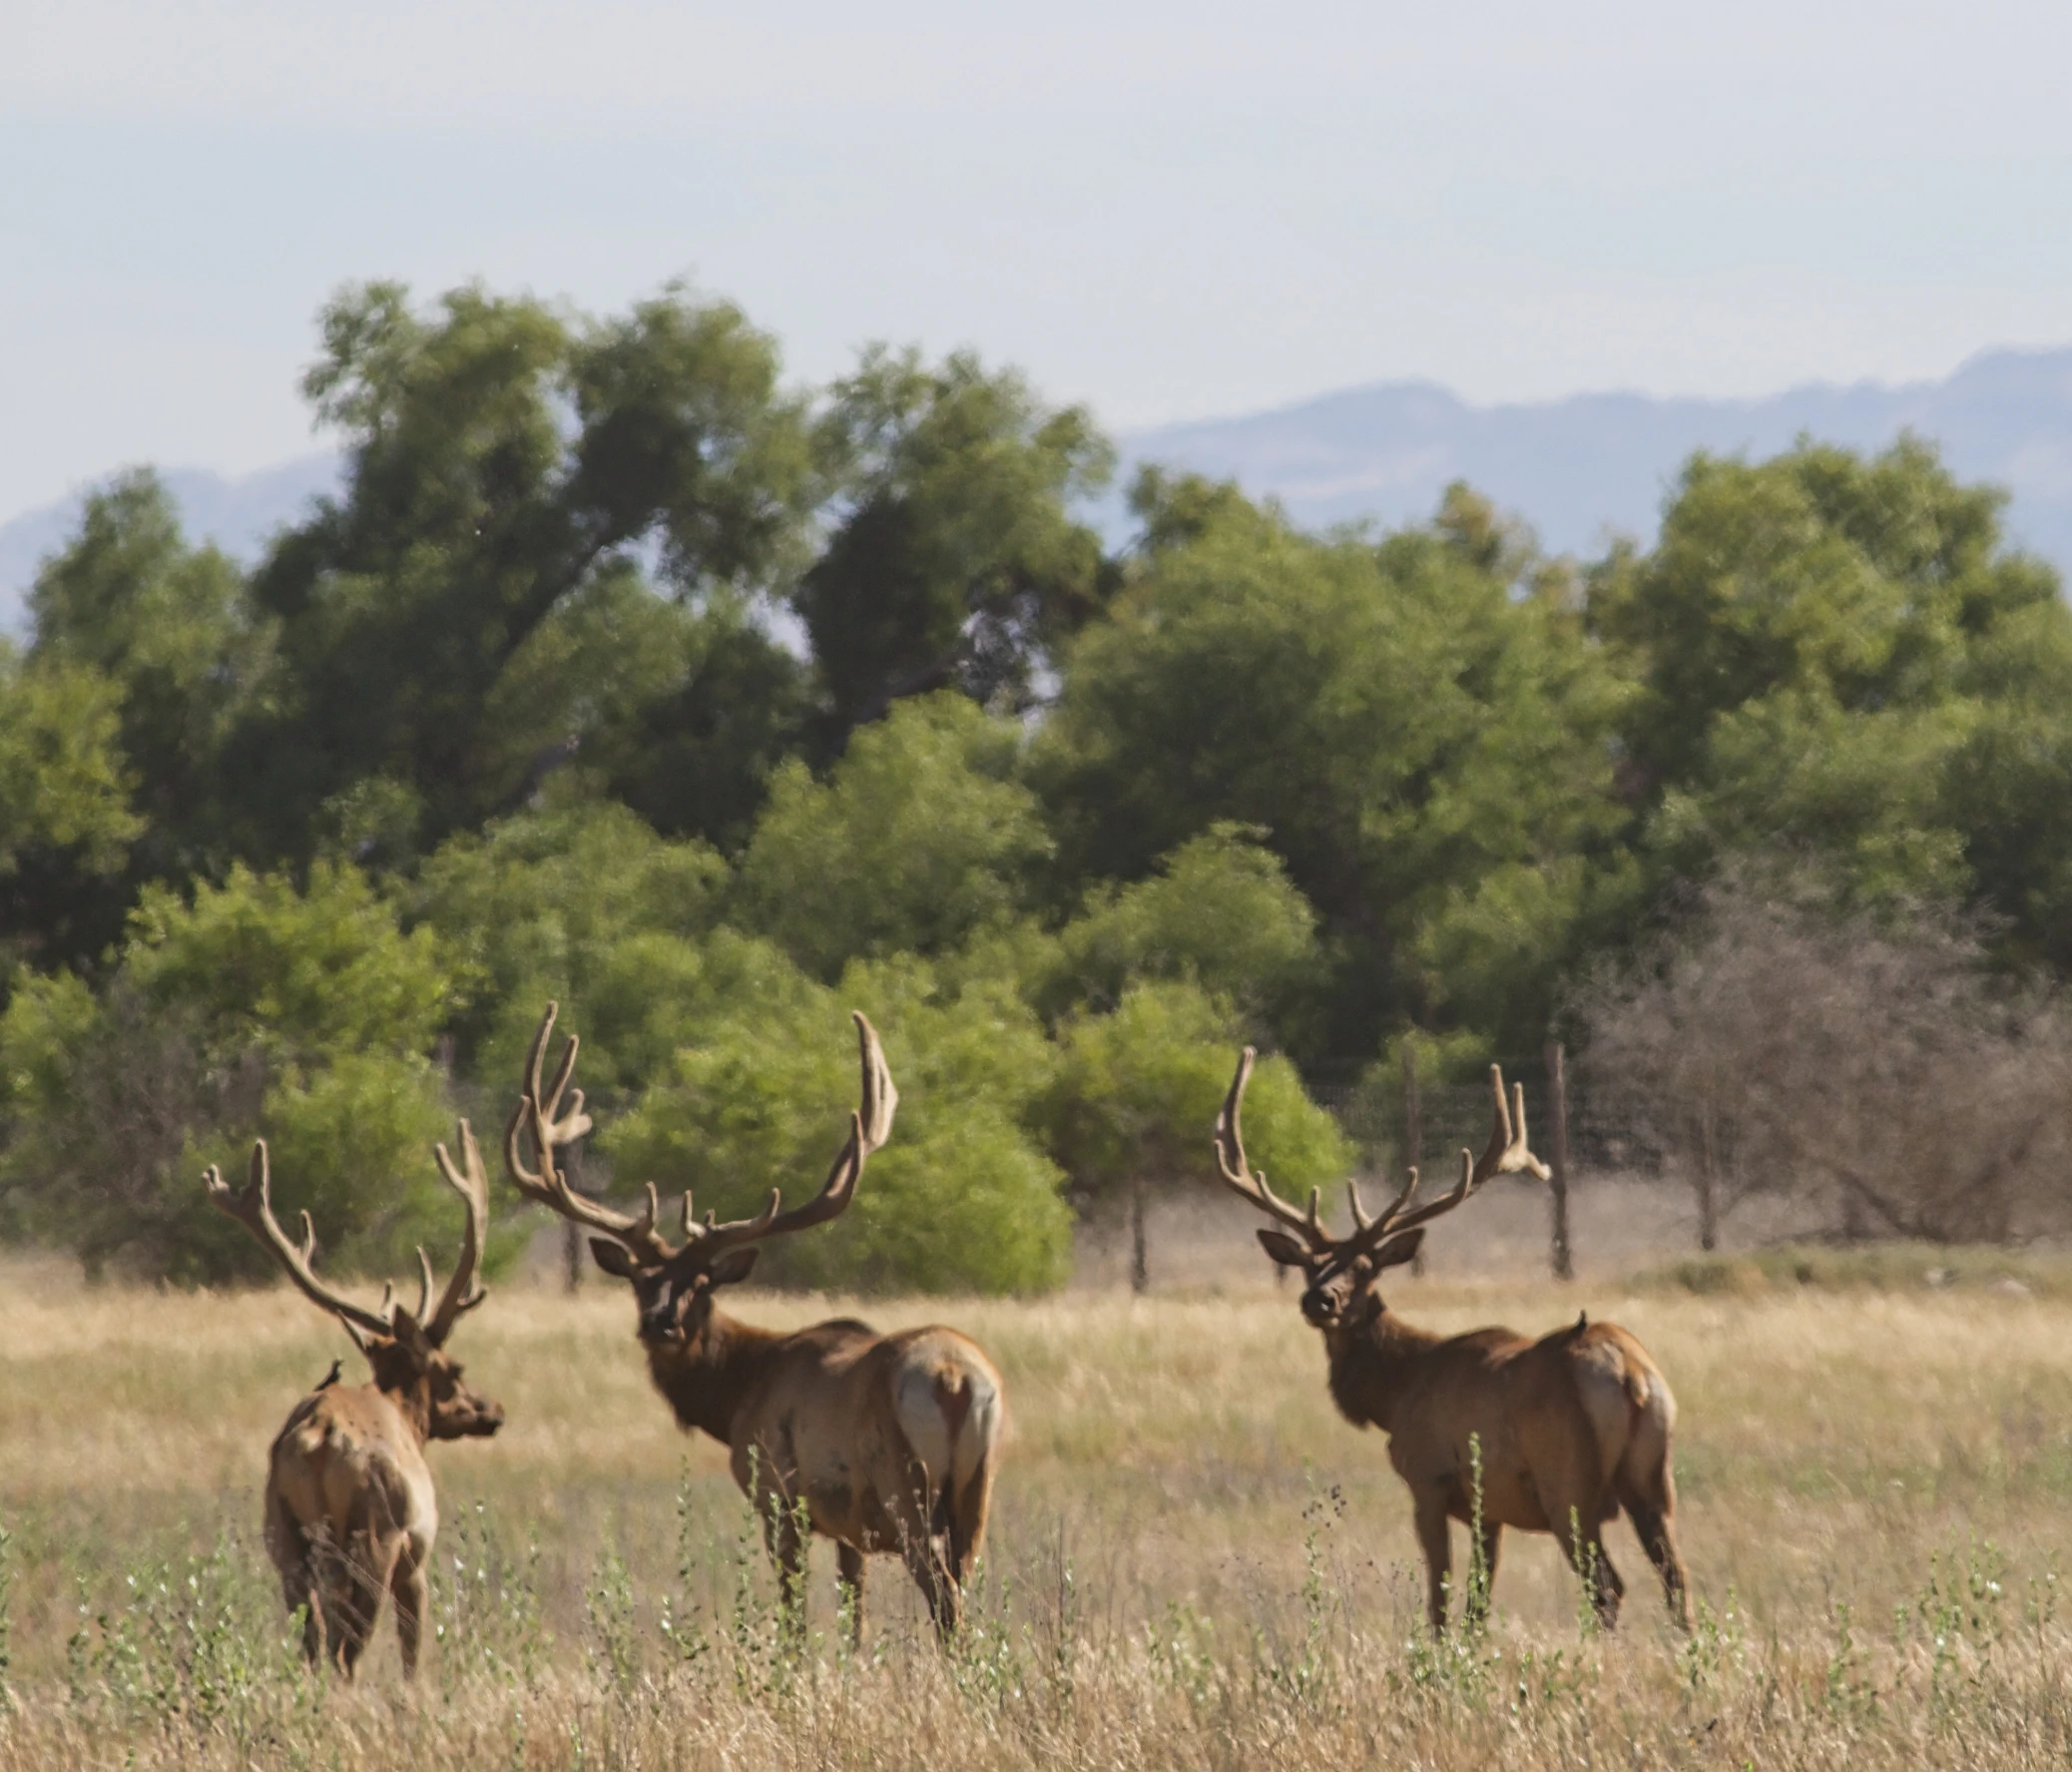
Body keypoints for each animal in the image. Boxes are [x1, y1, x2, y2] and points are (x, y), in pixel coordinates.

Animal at [203, 1127, 505, 1666]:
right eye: (454, 1369)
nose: (493, 1410)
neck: (407, 1418)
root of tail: (318, 1442)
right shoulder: (416, 1556)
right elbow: (412, 1654)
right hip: (375, 1540)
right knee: (346, 1648)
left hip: (284, 1537)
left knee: (310, 1643)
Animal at [509, 1002, 1011, 1641]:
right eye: (640, 1282)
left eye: (702, 1285)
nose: (661, 1324)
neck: (739, 1394)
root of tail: (953, 1379)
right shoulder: (849, 1526)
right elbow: (853, 1614)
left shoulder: (777, 1492)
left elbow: (794, 1612)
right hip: (979, 1485)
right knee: (964, 1581)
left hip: (904, 1483)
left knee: (943, 1592)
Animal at [1210, 1052, 1682, 1632]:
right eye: (1308, 1266)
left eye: (1365, 1269)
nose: (1319, 1300)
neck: (1397, 1392)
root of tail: (1630, 1377)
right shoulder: (1491, 1508)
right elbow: (1478, 1602)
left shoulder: (1428, 1479)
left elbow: (1438, 1595)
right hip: (1653, 1481)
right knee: (1676, 1579)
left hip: (1568, 1481)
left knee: (1608, 1587)